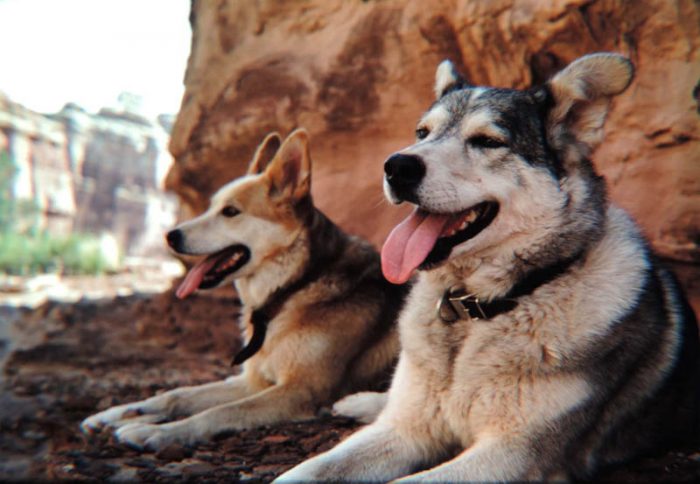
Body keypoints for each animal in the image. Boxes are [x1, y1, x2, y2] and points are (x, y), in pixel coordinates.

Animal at [80, 129, 404, 450]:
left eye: (230, 212)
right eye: (212, 207)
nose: (170, 236)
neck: (294, 287)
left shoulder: (302, 390)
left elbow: (218, 412)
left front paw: (159, 432)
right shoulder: (254, 381)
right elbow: (178, 394)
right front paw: (116, 413)